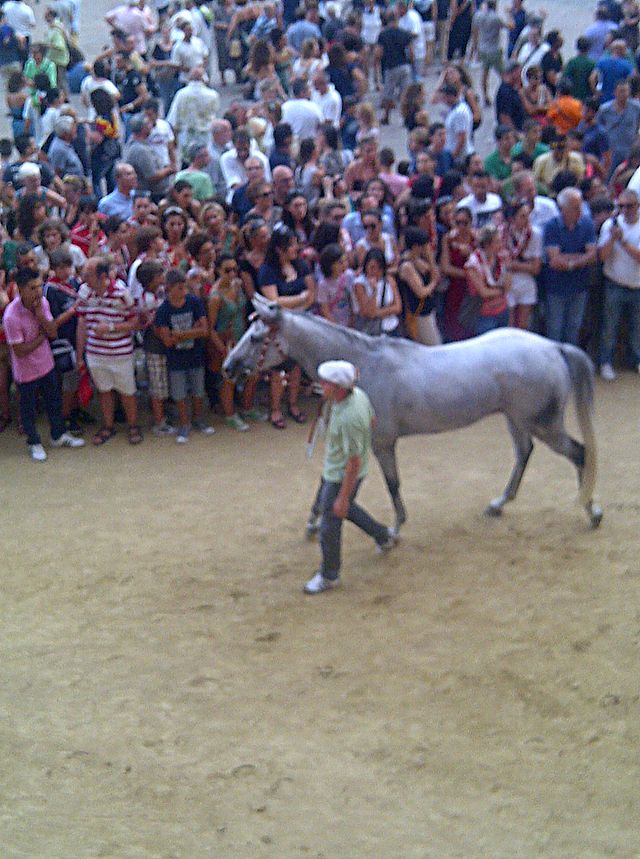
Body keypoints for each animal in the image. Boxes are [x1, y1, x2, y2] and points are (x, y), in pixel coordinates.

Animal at [223, 296, 603, 534]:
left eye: (256, 337)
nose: (228, 367)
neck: (361, 368)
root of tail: (553, 346)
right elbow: (326, 482)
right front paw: (314, 523)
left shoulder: (380, 443)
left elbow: (391, 483)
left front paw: (395, 526)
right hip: (517, 419)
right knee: (524, 454)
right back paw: (497, 504)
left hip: (543, 423)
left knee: (580, 453)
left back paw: (592, 512)